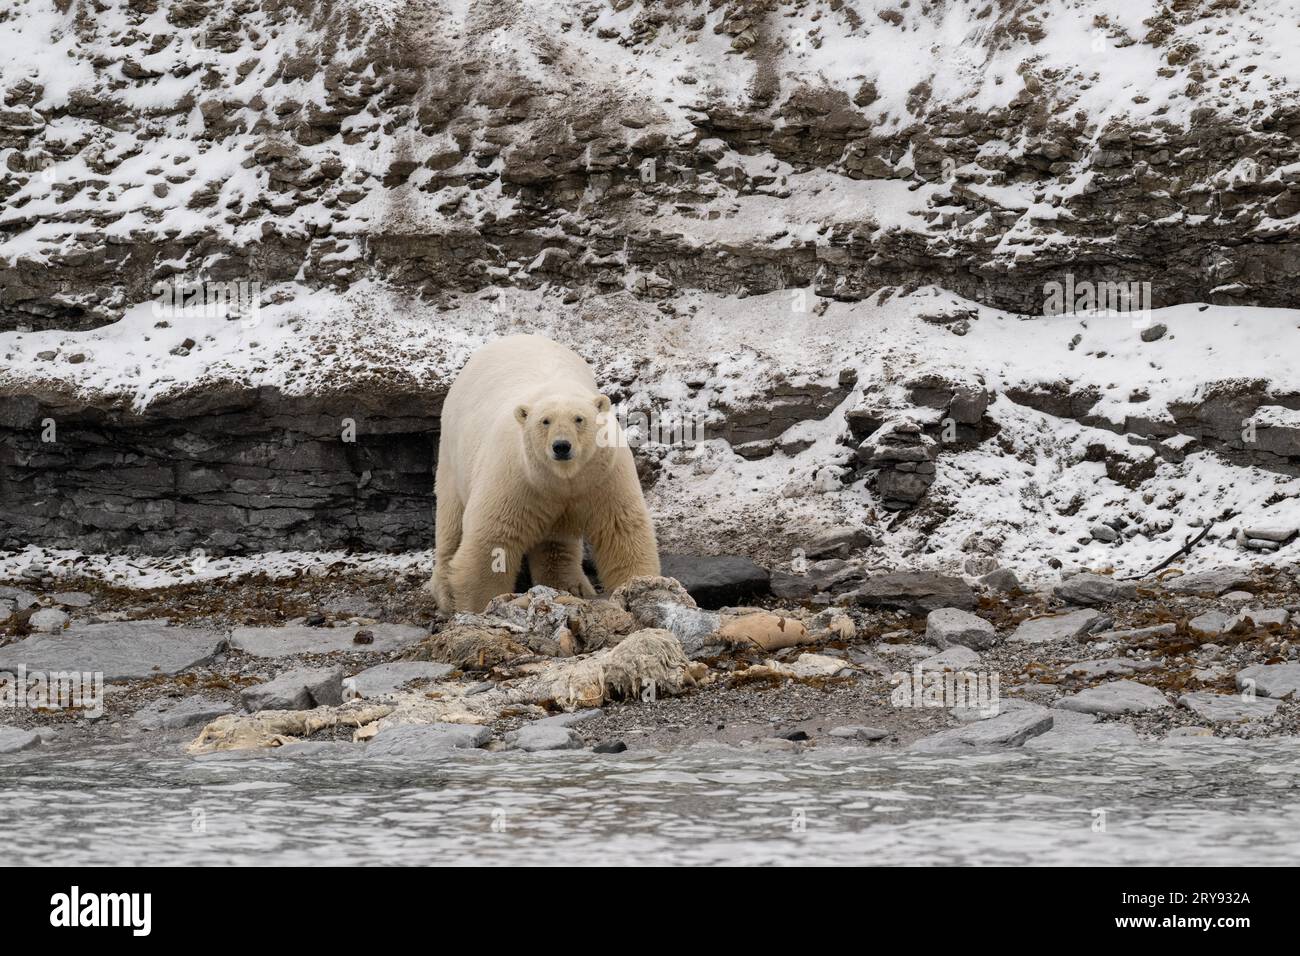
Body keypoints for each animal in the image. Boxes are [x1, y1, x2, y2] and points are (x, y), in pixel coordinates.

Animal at [428, 335, 660, 613]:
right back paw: (445, 594)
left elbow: (621, 530)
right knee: (451, 518)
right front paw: (479, 607)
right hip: (453, 452)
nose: (561, 446)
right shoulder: (517, 478)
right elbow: (492, 540)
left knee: (556, 544)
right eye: (545, 421)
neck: (563, 479)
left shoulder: (604, 476)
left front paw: (641, 586)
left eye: (579, 419)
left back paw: (571, 586)